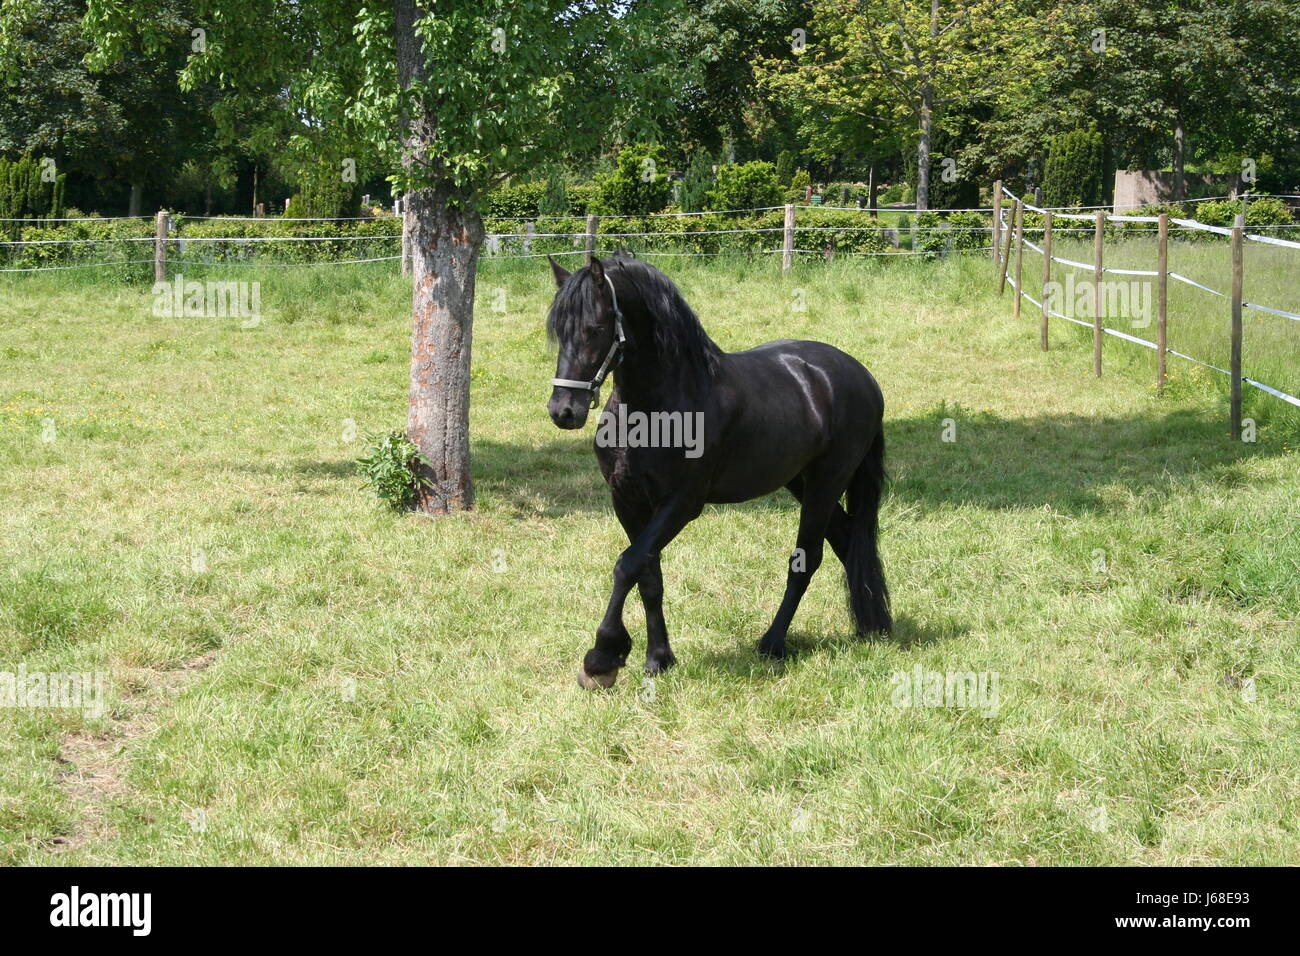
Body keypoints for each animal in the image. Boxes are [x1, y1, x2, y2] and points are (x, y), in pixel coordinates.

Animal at [545, 253, 889, 689]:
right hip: (802, 482)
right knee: (847, 544)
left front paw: (602, 657)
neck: (656, 408)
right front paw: (658, 658)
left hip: (826, 484)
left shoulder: (682, 504)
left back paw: (773, 643)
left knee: (806, 561)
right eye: (558, 332)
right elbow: (648, 575)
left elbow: (627, 565)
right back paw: (870, 625)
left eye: (595, 328)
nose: (563, 411)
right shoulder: (627, 500)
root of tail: (862, 377)